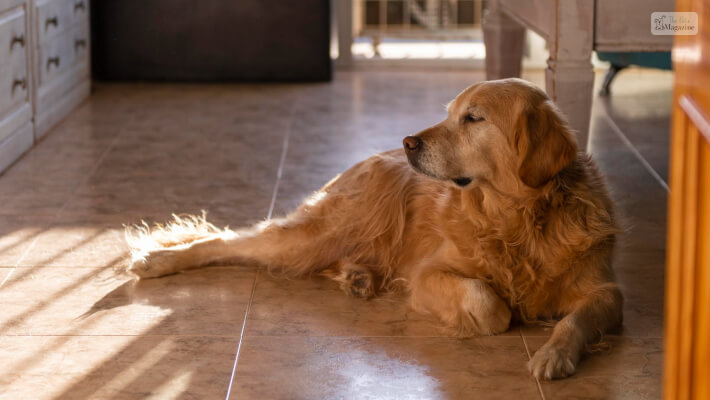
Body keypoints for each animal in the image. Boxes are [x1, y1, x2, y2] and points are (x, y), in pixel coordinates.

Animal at [126, 79, 624, 382]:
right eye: (451, 113)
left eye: (474, 118)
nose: (409, 142)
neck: (516, 218)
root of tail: (368, 158)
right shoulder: (429, 274)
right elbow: (489, 305)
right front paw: (504, 316)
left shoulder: (607, 291)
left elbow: (577, 319)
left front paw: (554, 354)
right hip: (318, 234)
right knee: (233, 239)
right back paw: (157, 259)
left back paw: (358, 277)